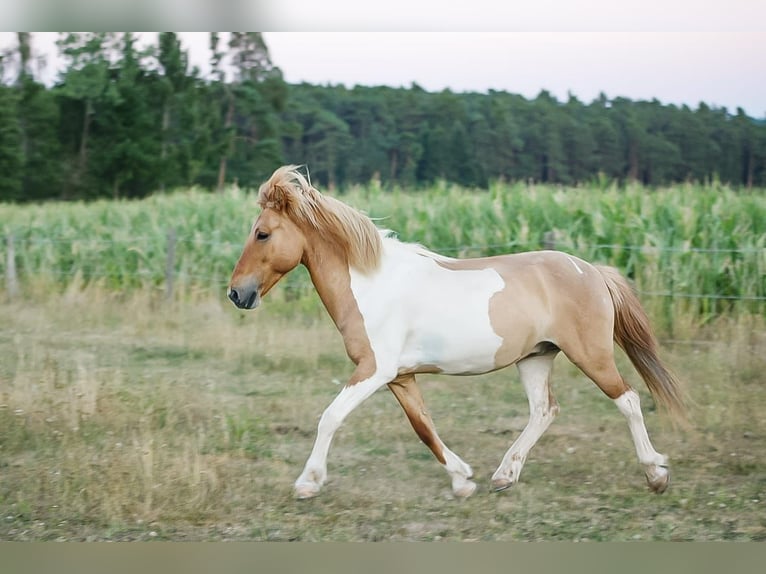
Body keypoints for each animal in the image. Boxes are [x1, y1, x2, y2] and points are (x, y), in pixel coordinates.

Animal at [228, 165, 685, 499]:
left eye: (262, 233)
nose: (236, 293)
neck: (373, 285)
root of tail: (591, 270)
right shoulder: (400, 377)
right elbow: (424, 427)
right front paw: (463, 479)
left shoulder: (373, 370)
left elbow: (330, 417)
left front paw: (308, 482)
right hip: (535, 357)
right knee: (544, 410)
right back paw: (504, 476)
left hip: (591, 354)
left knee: (627, 400)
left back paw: (656, 475)